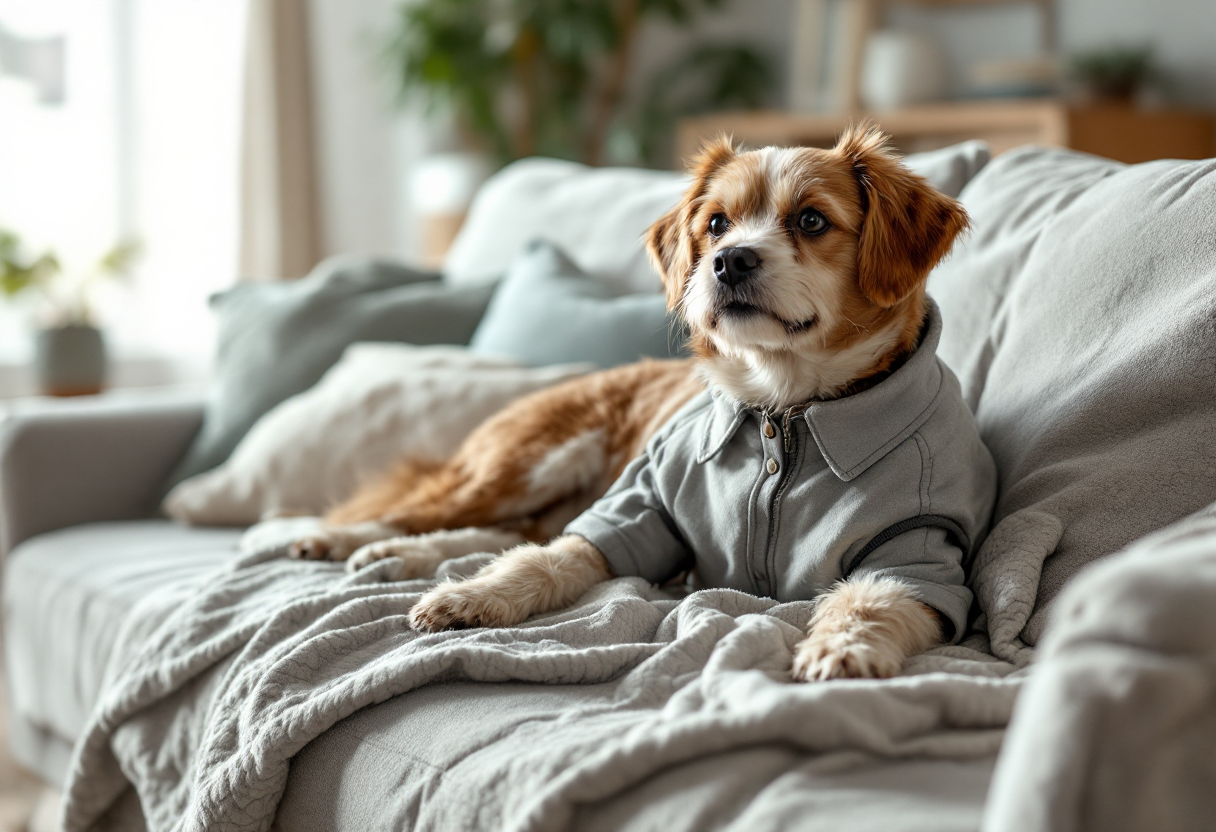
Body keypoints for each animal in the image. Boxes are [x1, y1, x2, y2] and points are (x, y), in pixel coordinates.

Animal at [296, 125, 997, 681]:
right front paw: (470, 595)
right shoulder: (633, 510)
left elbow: (871, 600)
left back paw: (393, 556)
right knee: (437, 513)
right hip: (525, 464)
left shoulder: (920, 553)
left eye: (812, 221)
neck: (782, 410)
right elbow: (546, 560)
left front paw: (842, 649)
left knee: (501, 529)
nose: (729, 260)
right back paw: (351, 541)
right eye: (715, 223)